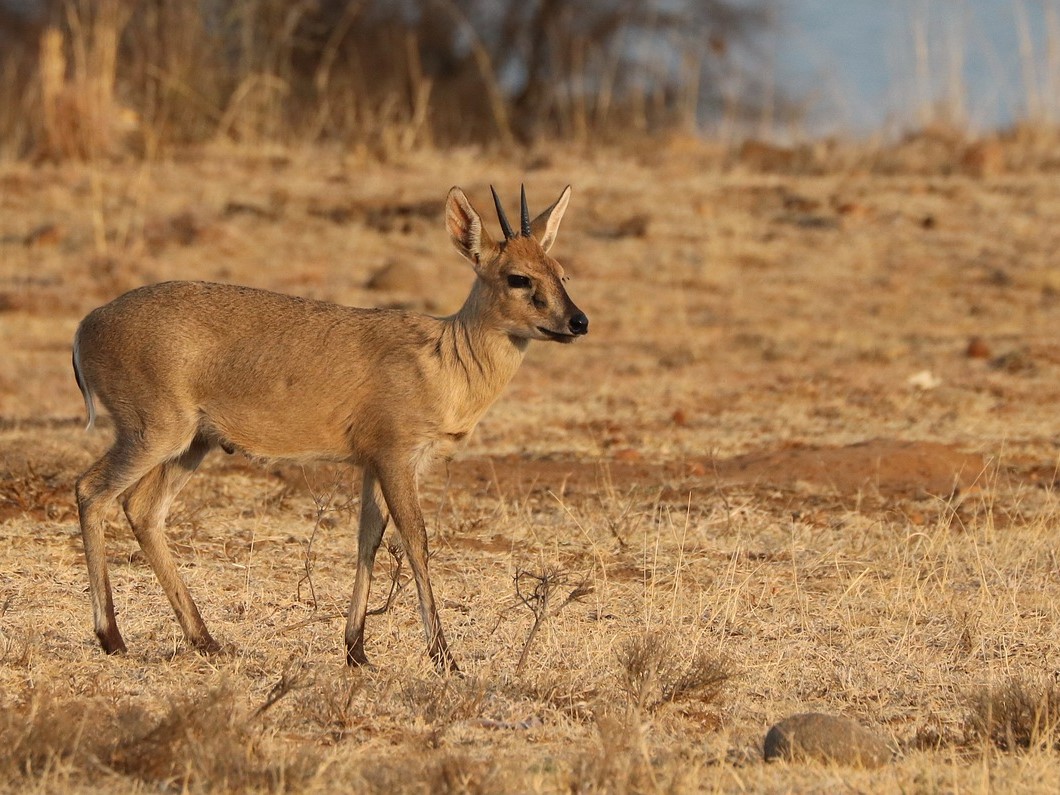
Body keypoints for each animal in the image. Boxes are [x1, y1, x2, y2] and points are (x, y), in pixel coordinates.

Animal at [74, 185, 589, 674]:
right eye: (518, 277)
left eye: (560, 272)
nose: (577, 322)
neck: (444, 359)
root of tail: (86, 325)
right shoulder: (396, 458)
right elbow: (416, 540)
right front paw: (445, 658)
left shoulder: (373, 465)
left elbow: (369, 540)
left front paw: (357, 650)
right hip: (152, 434)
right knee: (90, 490)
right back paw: (112, 637)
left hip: (191, 445)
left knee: (143, 510)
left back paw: (206, 640)